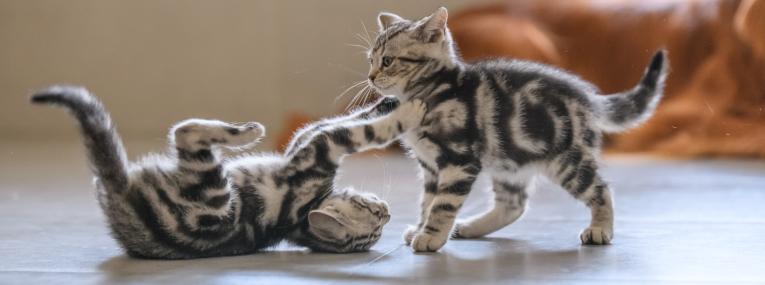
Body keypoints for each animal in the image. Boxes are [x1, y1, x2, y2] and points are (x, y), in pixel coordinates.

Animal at [31, 84, 424, 258]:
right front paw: (392, 102)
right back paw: (246, 131)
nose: (388, 212)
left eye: (379, 221)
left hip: (213, 191)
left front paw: (406, 111)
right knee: (184, 131)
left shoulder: (317, 151)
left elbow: (361, 131)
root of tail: (121, 194)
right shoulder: (310, 146)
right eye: (374, 212)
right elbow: (348, 121)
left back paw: (244, 132)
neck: (299, 219)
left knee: (184, 132)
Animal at [362, 7, 664, 251]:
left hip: (567, 161)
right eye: (371, 60)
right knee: (513, 205)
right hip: (509, 161)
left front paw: (430, 236)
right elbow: (427, 202)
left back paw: (600, 229)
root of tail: (588, 98)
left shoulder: (459, 160)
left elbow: (443, 203)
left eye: (387, 61)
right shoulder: (430, 166)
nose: (371, 77)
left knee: (601, 190)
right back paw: (469, 227)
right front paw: (421, 227)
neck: (434, 91)